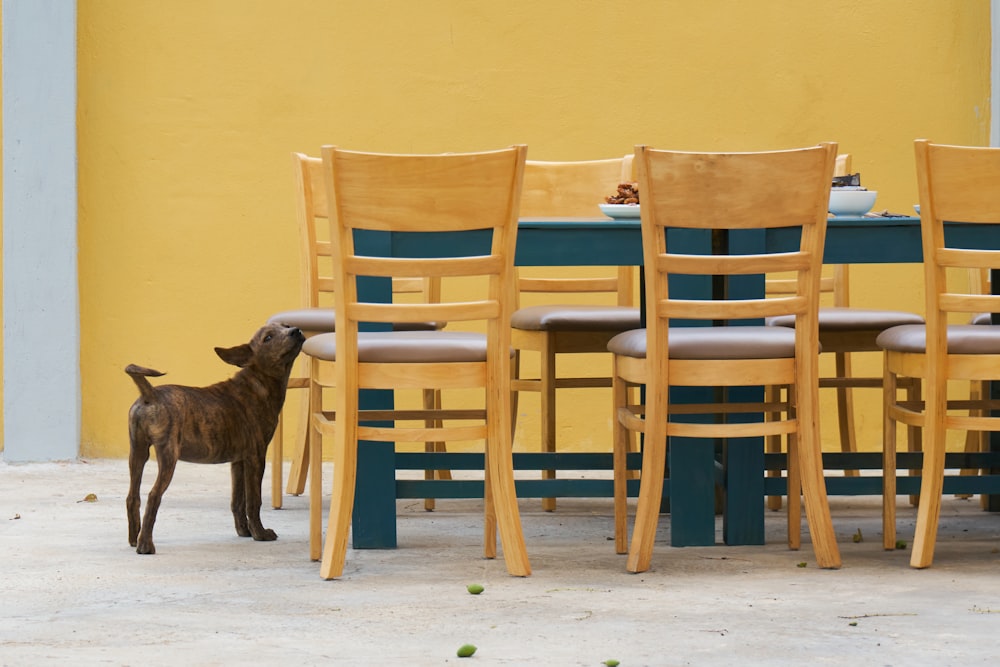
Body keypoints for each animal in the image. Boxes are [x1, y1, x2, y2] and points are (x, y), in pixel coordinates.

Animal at [122, 322, 300, 552]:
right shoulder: (256, 457)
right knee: (153, 496)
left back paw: (134, 539)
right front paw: (260, 534)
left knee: (132, 497)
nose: (296, 330)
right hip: (168, 455)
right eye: (268, 338)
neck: (259, 383)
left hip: (137, 452)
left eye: (285, 326)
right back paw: (145, 545)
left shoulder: (238, 461)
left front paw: (244, 531)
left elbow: (237, 501)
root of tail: (150, 394)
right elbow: (254, 500)